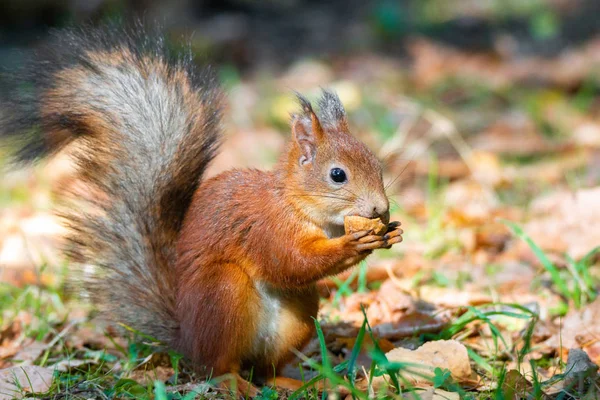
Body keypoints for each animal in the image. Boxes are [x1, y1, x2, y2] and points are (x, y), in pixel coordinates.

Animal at [1, 25, 404, 394]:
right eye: (337, 175)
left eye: (377, 164)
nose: (380, 209)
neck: (298, 205)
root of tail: (187, 342)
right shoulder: (265, 226)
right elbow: (290, 262)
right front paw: (354, 244)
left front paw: (390, 233)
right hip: (222, 295)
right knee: (218, 367)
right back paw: (234, 381)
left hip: (299, 312)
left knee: (265, 369)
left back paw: (291, 382)